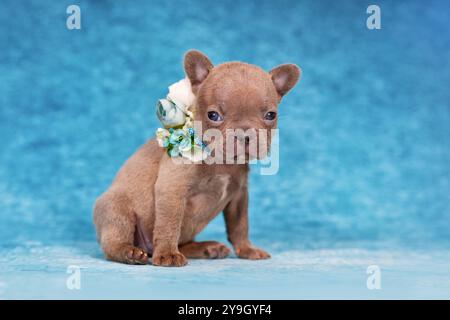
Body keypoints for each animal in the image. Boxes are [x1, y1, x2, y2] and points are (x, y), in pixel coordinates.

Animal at [93, 49, 300, 264]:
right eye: (213, 115)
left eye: (270, 115)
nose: (244, 134)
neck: (223, 162)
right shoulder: (172, 190)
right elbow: (169, 224)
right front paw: (167, 253)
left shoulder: (239, 197)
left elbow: (240, 225)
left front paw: (246, 249)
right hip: (117, 208)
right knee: (113, 240)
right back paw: (129, 252)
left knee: (185, 242)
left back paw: (206, 248)